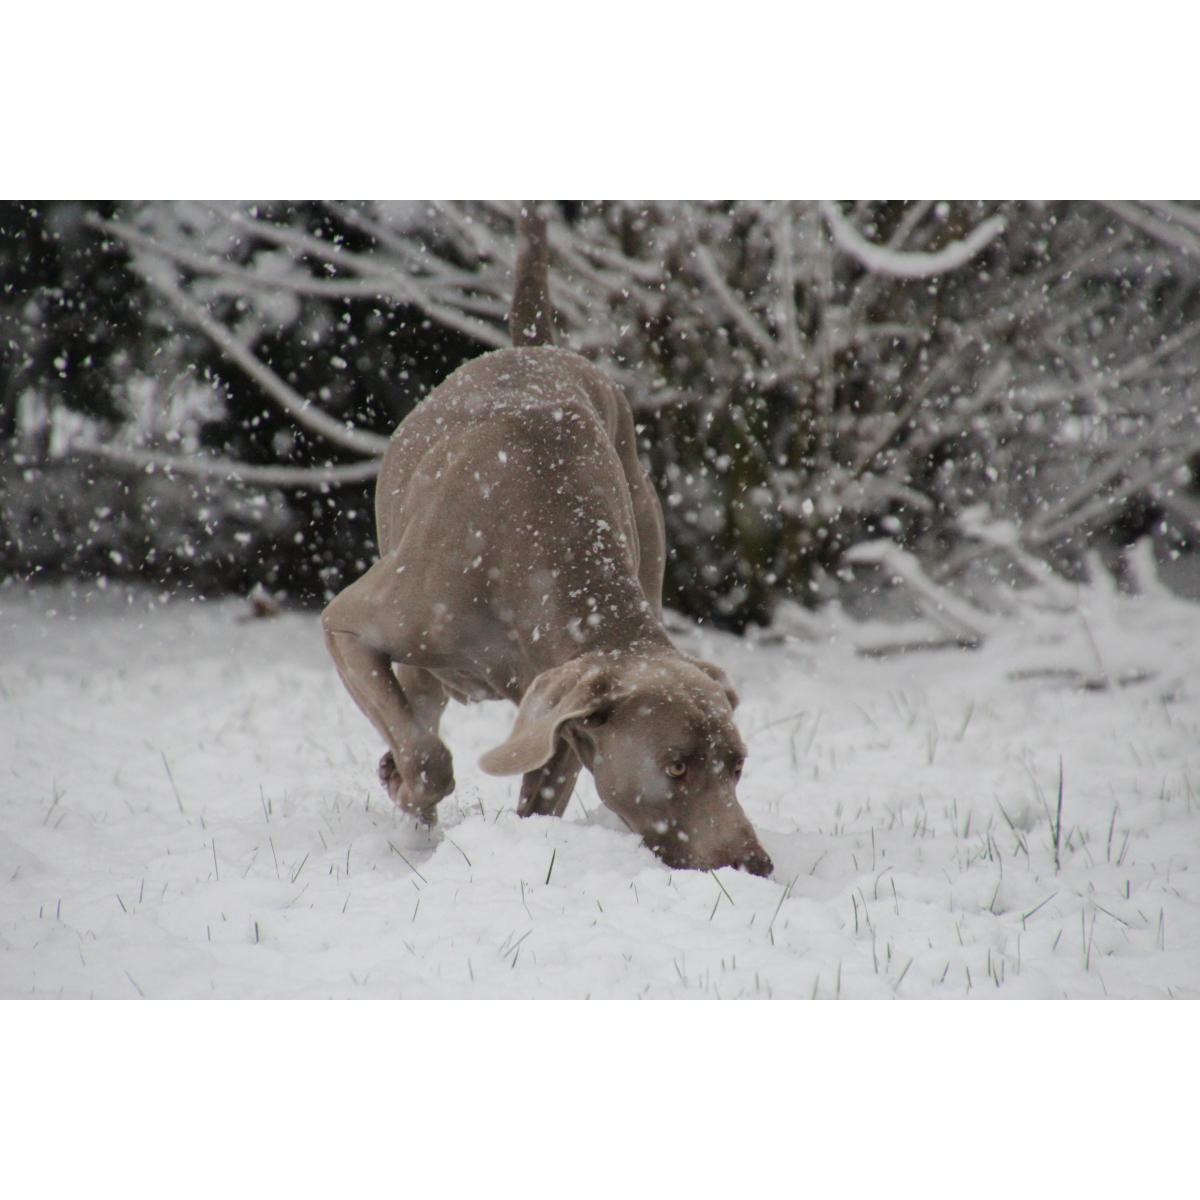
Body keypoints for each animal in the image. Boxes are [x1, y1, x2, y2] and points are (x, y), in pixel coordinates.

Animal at [319, 199, 772, 873]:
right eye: (675, 766)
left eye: (737, 765)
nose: (755, 865)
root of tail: (539, 347)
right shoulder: (349, 622)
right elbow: (427, 760)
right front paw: (404, 782)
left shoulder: (561, 715)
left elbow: (542, 789)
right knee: (420, 719)